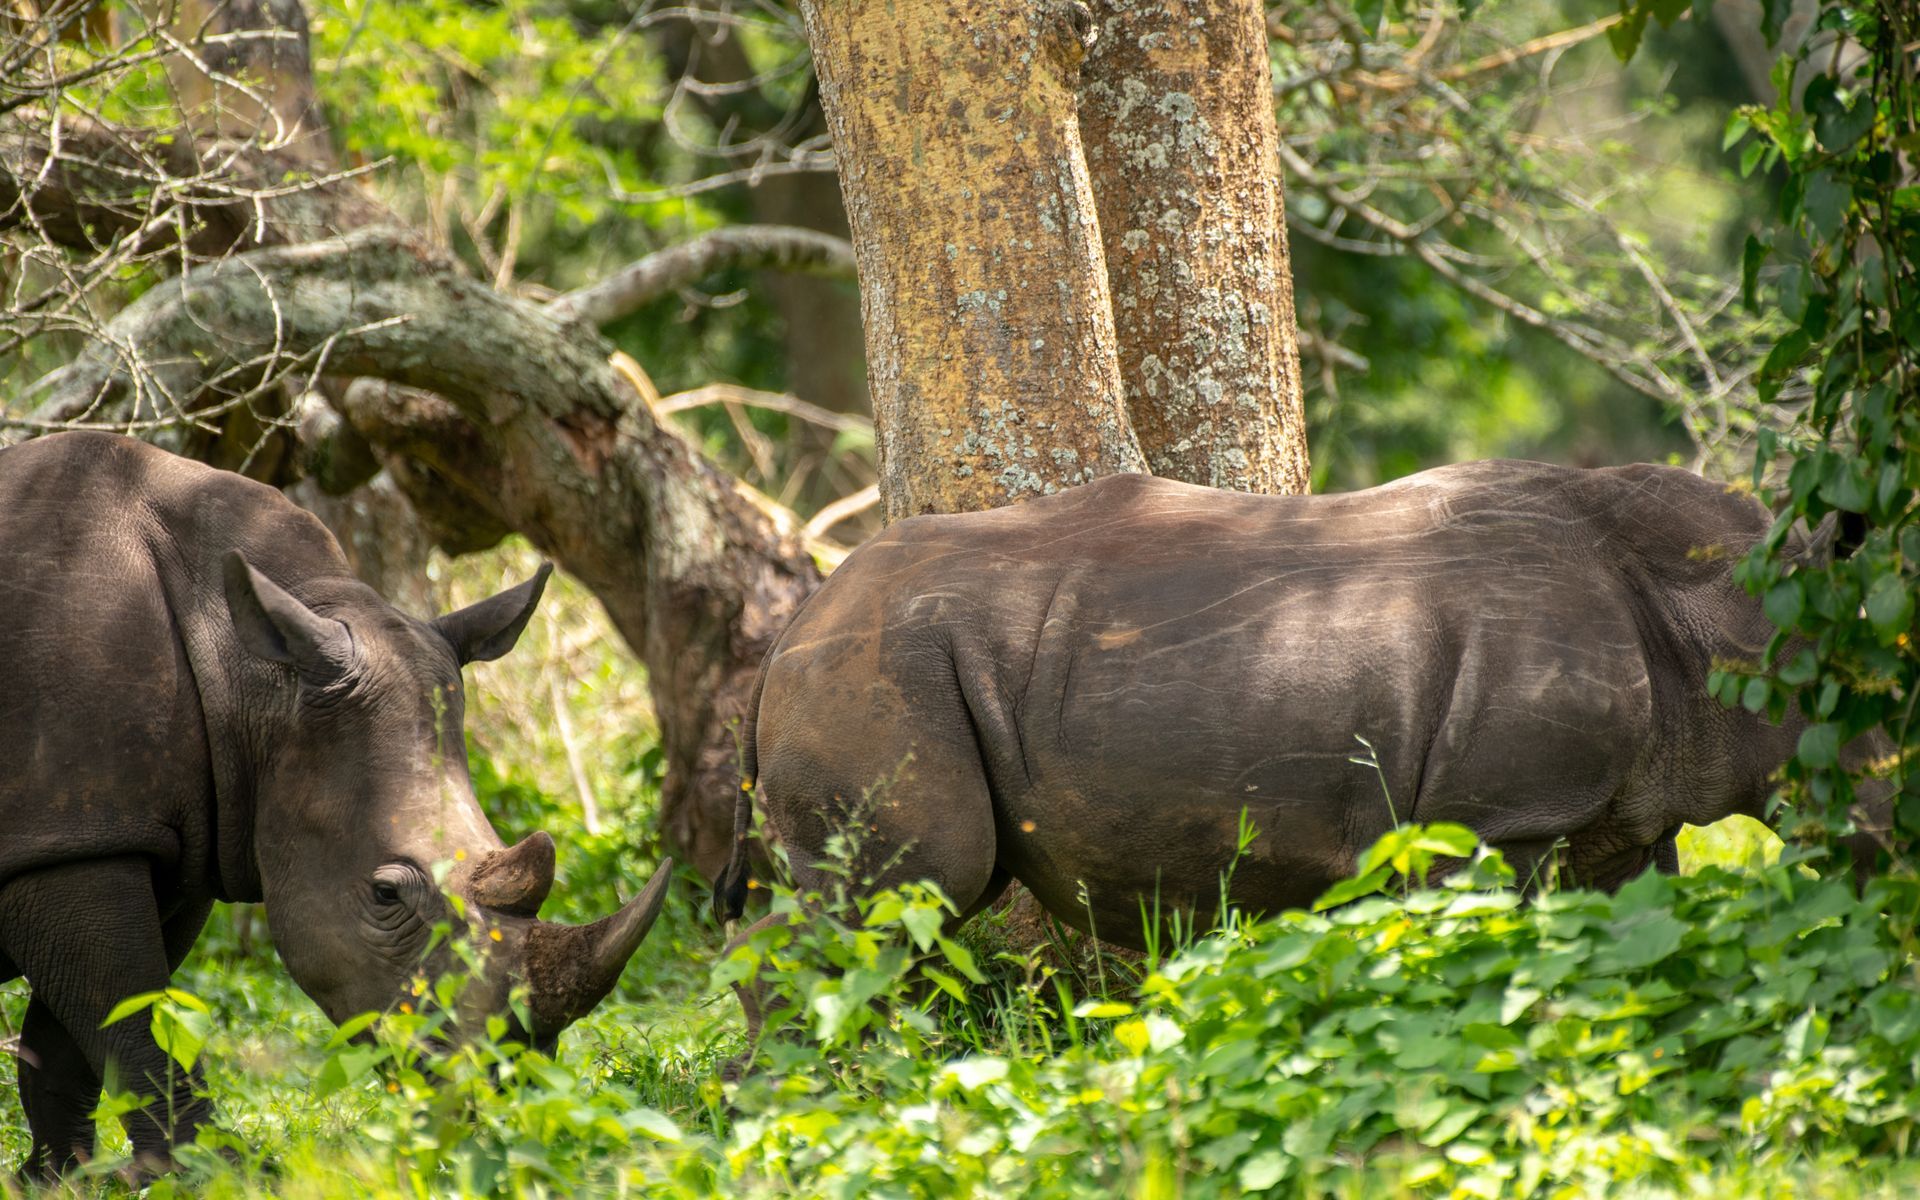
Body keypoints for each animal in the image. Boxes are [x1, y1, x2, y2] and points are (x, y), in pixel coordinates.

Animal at [0, 431, 671, 1179]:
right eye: (385, 895)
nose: (507, 1080)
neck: (252, 674)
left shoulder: (145, 837)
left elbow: (85, 1027)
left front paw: (63, 1179)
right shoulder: (71, 839)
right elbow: (131, 1010)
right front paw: (217, 1173)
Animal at [716, 461, 1879, 980]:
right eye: (1850, 732)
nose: (1887, 837)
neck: (1717, 614)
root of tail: (795, 621)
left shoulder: (1613, 816)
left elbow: (1632, 940)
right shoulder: (1500, 815)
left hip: (883, 658)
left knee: (892, 917)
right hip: (878, 666)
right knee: (900, 893)